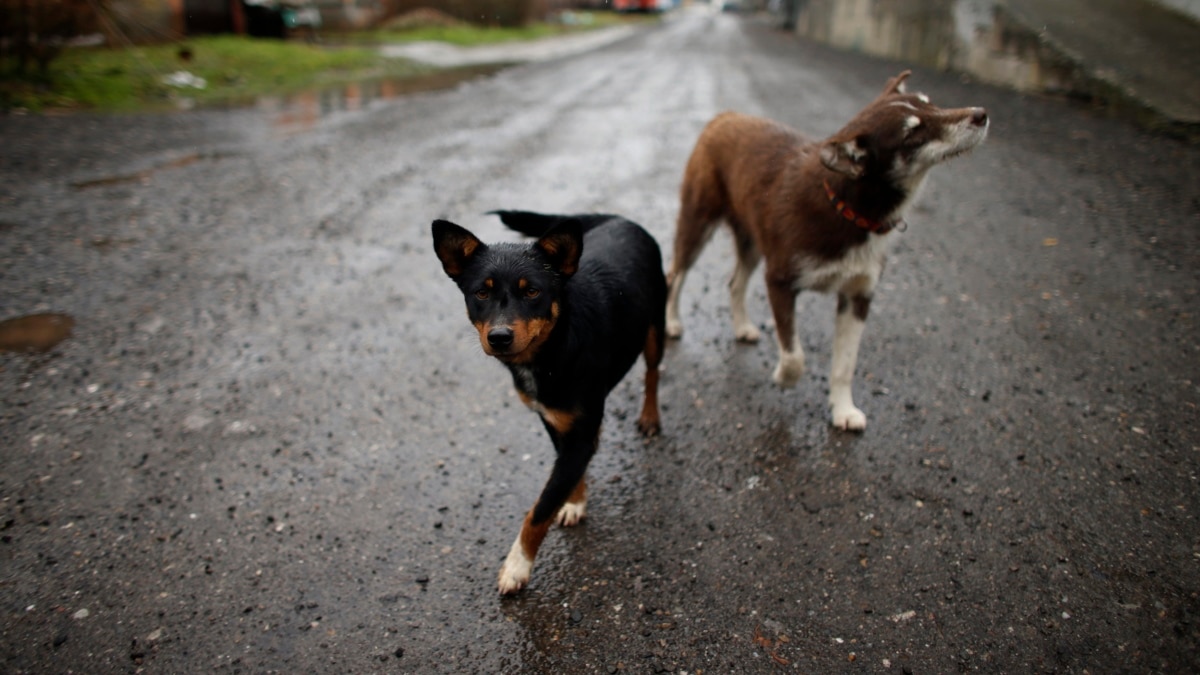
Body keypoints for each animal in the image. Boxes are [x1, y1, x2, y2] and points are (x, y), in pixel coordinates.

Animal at [432, 210, 667, 593]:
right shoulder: (555, 421)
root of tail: (619, 218)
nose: (499, 337)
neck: (552, 349)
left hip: (654, 327)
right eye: (481, 292)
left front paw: (517, 566)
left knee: (652, 373)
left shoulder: (578, 434)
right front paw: (575, 500)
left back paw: (650, 416)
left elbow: (539, 510)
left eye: (533, 291)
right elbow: (565, 474)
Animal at [662, 70, 988, 427]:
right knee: (675, 274)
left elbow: (844, 365)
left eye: (930, 104)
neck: (849, 207)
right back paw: (671, 323)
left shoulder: (858, 296)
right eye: (913, 133)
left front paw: (843, 410)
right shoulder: (780, 282)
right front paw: (783, 377)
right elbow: (795, 355)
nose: (981, 114)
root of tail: (725, 117)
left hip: (751, 241)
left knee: (735, 283)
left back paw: (743, 327)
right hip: (697, 225)